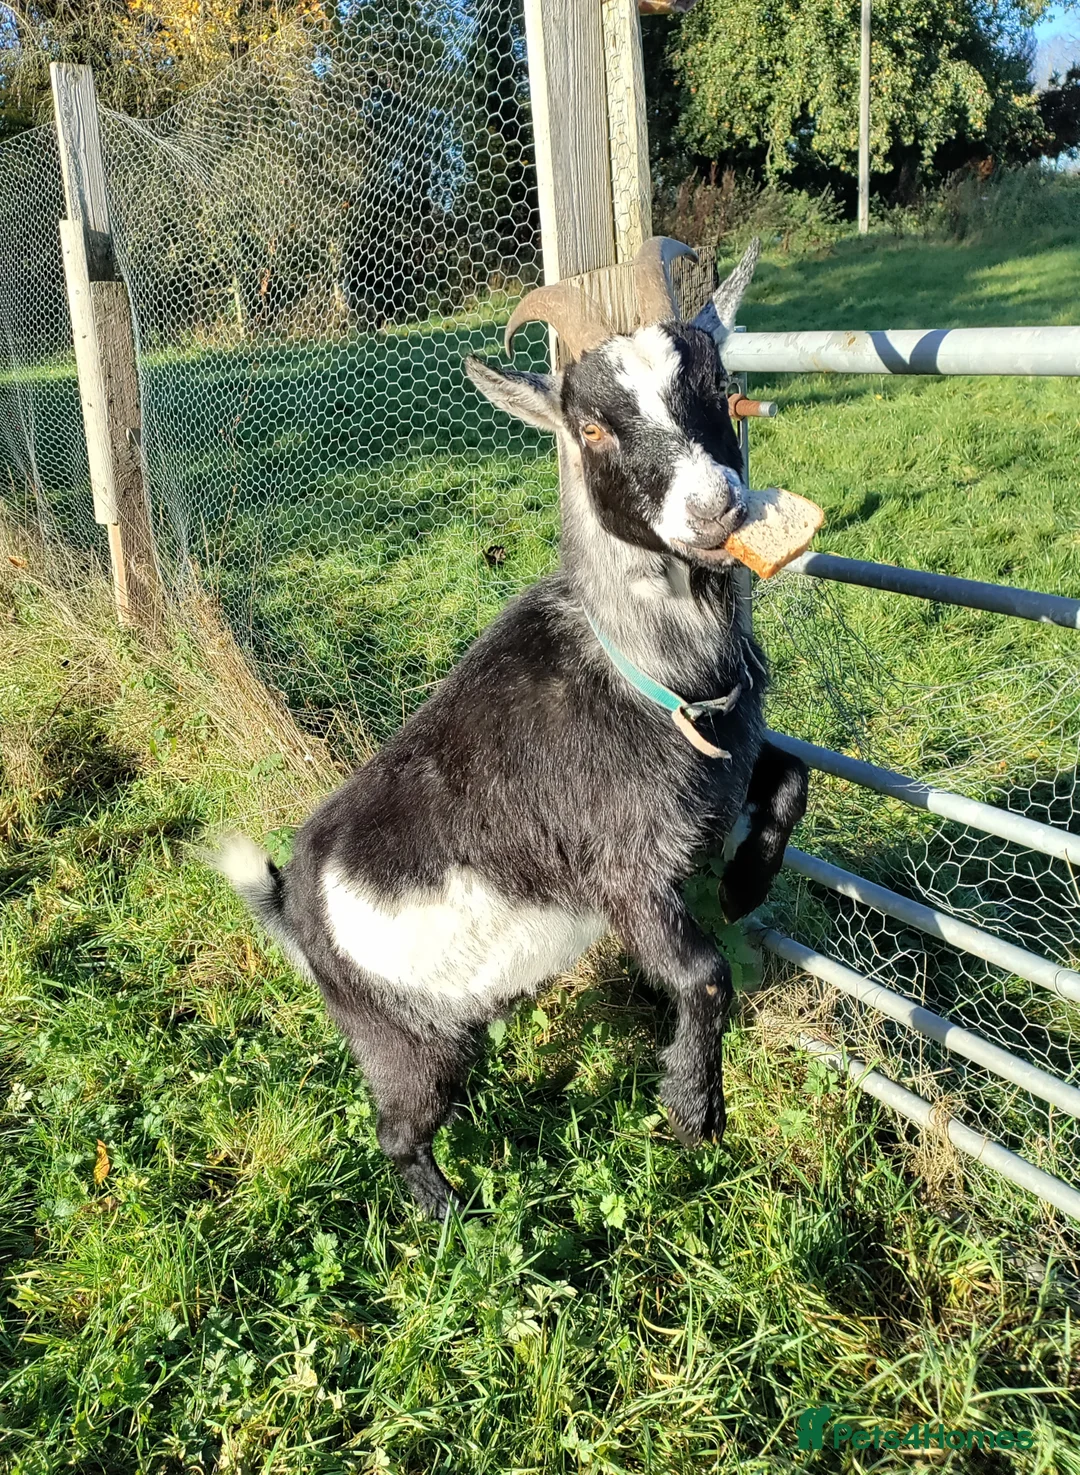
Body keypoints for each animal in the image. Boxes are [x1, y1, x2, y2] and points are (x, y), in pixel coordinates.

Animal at [216, 237, 808, 1217]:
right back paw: (456, 1217)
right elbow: (702, 975)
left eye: (725, 389)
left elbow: (791, 779)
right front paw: (694, 1108)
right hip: (402, 1042)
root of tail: (291, 905)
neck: (645, 669)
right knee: (397, 1132)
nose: (713, 507)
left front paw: (741, 888)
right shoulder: (625, 871)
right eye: (591, 427)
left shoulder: (722, 768)